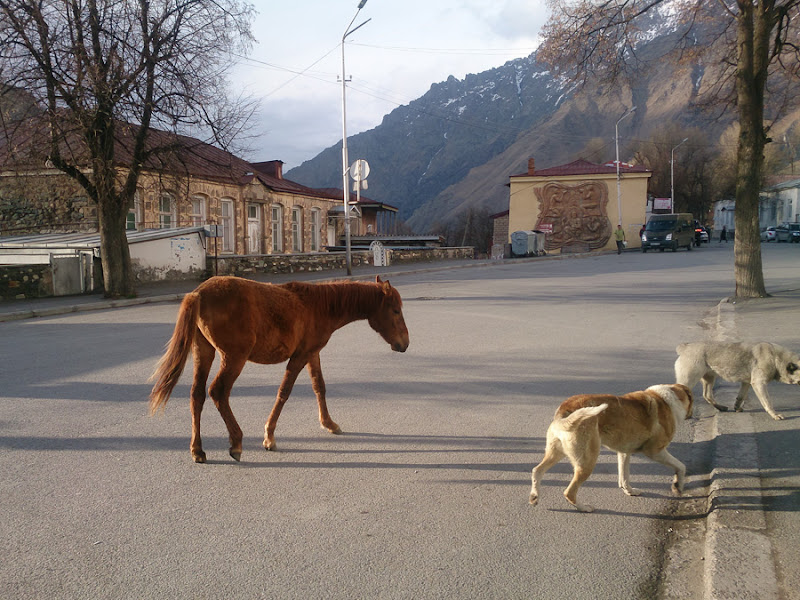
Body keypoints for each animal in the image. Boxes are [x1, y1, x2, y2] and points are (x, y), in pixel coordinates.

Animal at [149, 274, 410, 462]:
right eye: (396, 310)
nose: (405, 344)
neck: (318, 306)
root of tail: (199, 293)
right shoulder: (300, 356)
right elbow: (284, 392)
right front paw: (269, 436)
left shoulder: (312, 354)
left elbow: (319, 386)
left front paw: (329, 423)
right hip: (233, 358)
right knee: (218, 392)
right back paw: (236, 442)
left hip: (204, 353)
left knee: (197, 395)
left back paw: (197, 450)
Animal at [528, 384, 692, 510]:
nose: (691, 415)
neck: (668, 399)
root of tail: (565, 409)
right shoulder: (655, 451)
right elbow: (681, 466)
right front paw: (678, 486)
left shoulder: (624, 453)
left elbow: (624, 477)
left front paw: (629, 491)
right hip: (587, 462)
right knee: (569, 492)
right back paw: (584, 508)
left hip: (556, 453)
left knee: (537, 470)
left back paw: (534, 496)